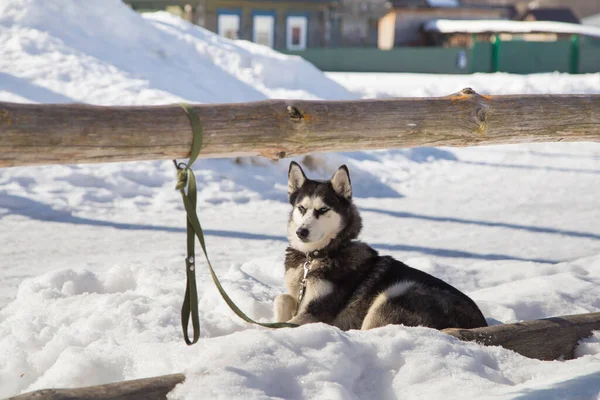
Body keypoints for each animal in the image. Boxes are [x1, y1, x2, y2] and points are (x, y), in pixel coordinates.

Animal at [276, 161, 488, 330]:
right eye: (301, 208)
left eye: (323, 210)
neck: (316, 256)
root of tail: (480, 323)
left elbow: (284, 323)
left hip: (394, 294)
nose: (301, 232)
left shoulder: (315, 313)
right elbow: (282, 298)